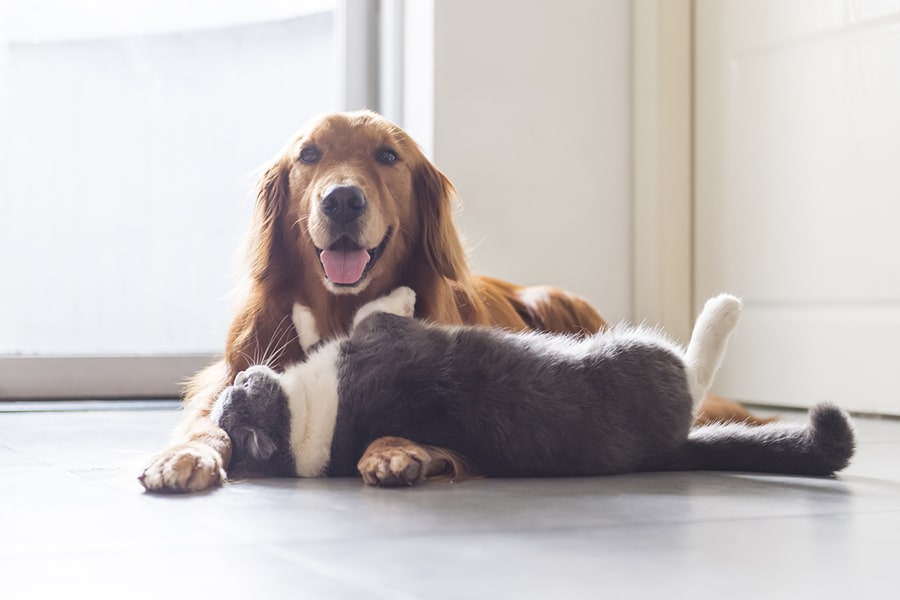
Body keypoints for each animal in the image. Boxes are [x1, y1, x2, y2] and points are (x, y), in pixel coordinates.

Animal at [139, 111, 760, 492]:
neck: (341, 311)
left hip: (559, 305)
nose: (342, 200)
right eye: (309, 154)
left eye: (388, 156)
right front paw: (181, 456)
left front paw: (392, 447)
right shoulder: (229, 376)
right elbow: (205, 423)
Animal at [211, 286, 856, 482]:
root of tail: (668, 452)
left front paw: (299, 314)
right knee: (694, 375)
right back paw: (722, 311)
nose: (239, 378)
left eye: (234, 395)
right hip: (640, 359)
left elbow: (324, 324)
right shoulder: (380, 335)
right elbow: (369, 309)